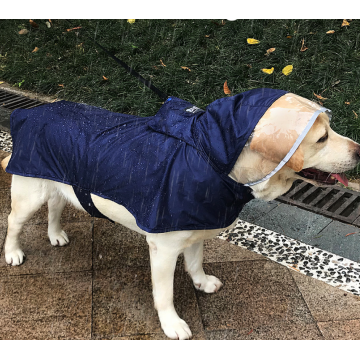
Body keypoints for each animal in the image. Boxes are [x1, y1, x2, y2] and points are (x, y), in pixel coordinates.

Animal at [2, 93, 360, 340]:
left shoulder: (196, 227)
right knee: (14, 222)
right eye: (322, 138)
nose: (359, 151)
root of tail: (30, 112)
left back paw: (55, 234)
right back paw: (13, 252)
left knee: (55, 206)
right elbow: (165, 293)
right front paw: (171, 323)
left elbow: (196, 262)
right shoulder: (163, 248)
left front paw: (201, 282)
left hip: (56, 183)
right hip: (28, 193)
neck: (213, 161)